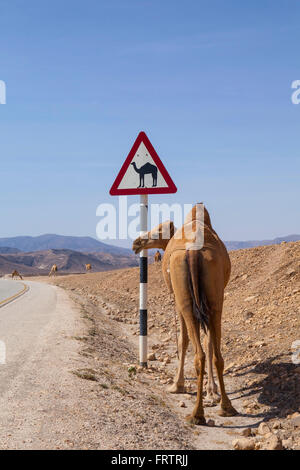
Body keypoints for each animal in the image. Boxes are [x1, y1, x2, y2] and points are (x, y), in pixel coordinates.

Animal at [132, 204, 238, 424]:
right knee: (215, 353)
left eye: (159, 230)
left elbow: (182, 340)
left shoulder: (177, 299)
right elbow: (208, 342)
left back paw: (196, 414)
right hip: (215, 299)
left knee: (198, 352)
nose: (136, 243)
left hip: (185, 301)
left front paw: (177, 385)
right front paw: (212, 391)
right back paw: (226, 406)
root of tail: (194, 250)